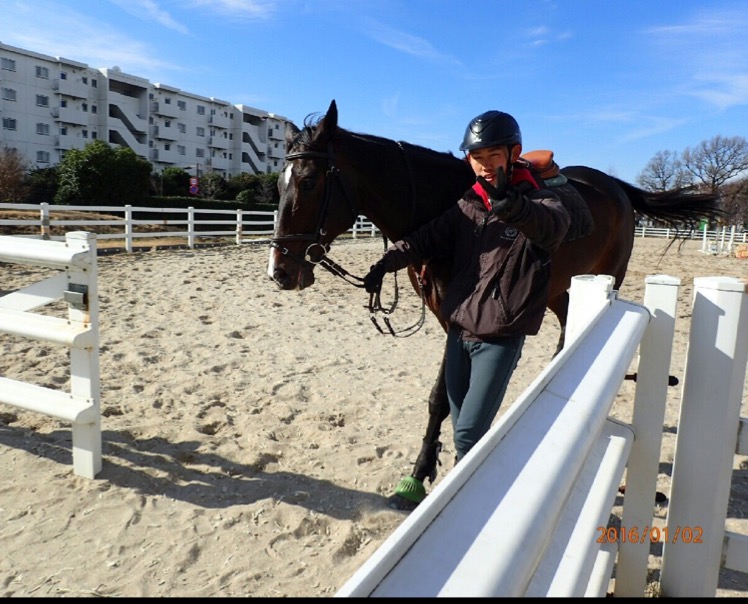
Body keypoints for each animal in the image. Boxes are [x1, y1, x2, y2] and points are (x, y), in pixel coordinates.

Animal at [268, 99, 722, 510]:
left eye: (308, 182)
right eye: (279, 185)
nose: (280, 271)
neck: (446, 210)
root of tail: (615, 186)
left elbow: (450, 397)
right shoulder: (450, 318)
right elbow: (445, 397)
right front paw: (419, 474)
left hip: (605, 277)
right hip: (559, 291)